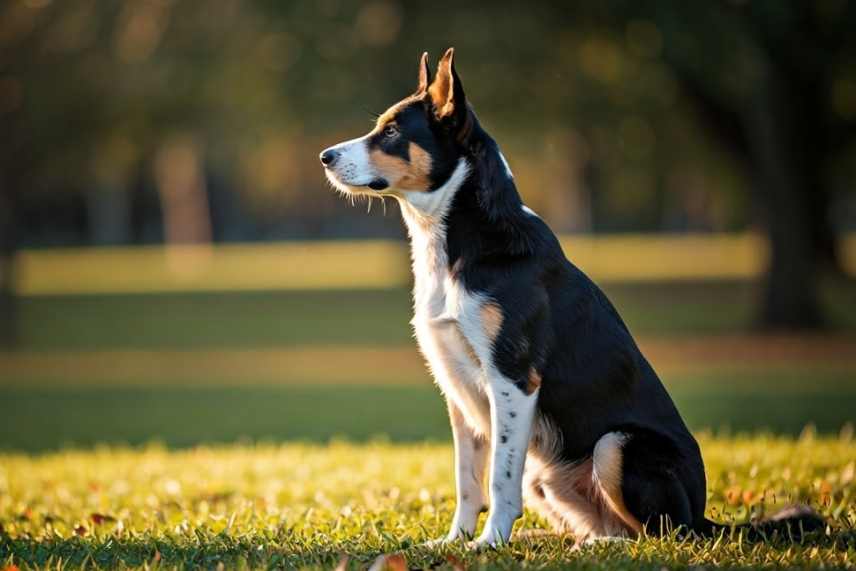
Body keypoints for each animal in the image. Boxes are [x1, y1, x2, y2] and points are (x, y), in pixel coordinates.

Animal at [320, 49, 824, 548]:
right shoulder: (459, 390)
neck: (461, 240)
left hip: (617, 445)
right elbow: (467, 480)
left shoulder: (513, 378)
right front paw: (455, 542)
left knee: (663, 533)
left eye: (391, 132)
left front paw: (489, 542)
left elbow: (499, 478)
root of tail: (703, 515)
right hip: (547, 476)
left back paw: (597, 544)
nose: (325, 156)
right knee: (618, 525)